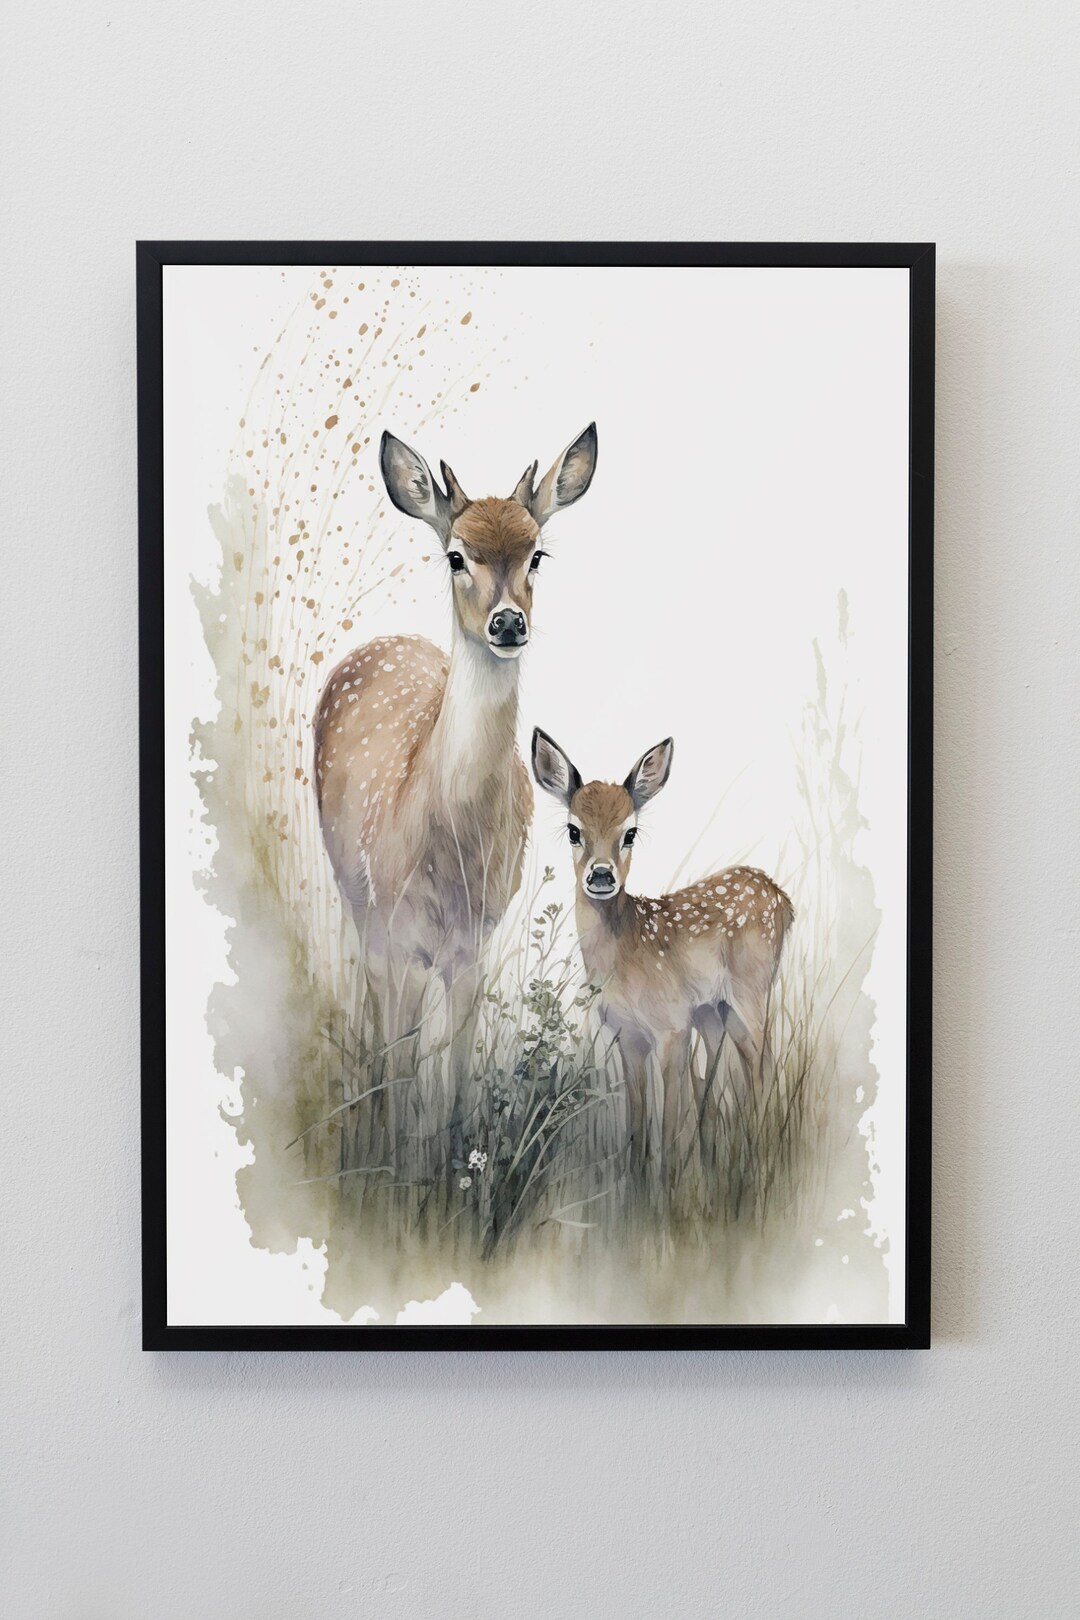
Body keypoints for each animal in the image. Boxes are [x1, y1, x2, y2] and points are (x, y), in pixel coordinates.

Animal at [314, 424, 598, 1103]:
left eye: (537, 556)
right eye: (455, 557)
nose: (508, 622)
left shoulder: (475, 942)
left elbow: (459, 1082)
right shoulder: (400, 933)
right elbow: (402, 1068)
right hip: (355, 892)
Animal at [531, 728, 793, 1189]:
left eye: (630, 833)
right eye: (573, 830)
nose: (602, 875)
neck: (625, 956)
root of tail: (782, 898)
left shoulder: (673, 1026)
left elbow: (670, 1121)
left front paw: (668, 1187)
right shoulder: (628, 1035)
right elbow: (637, 1121)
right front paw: (636, 1186)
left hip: (752, 988)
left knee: (763, 1065)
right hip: (717, 1010)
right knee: (727, 1073)